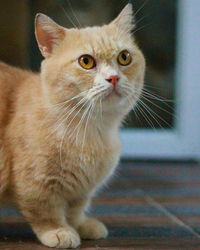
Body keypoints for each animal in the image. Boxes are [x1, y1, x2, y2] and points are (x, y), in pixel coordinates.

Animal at [0, 4, 145, 249]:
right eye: (86, 61)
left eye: (124, 57)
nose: (113, 78)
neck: (93, 130)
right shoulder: (34, 184)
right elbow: (45, 210)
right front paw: (58, 231)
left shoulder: (82, 190)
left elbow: (76, 209)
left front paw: (80, 225)